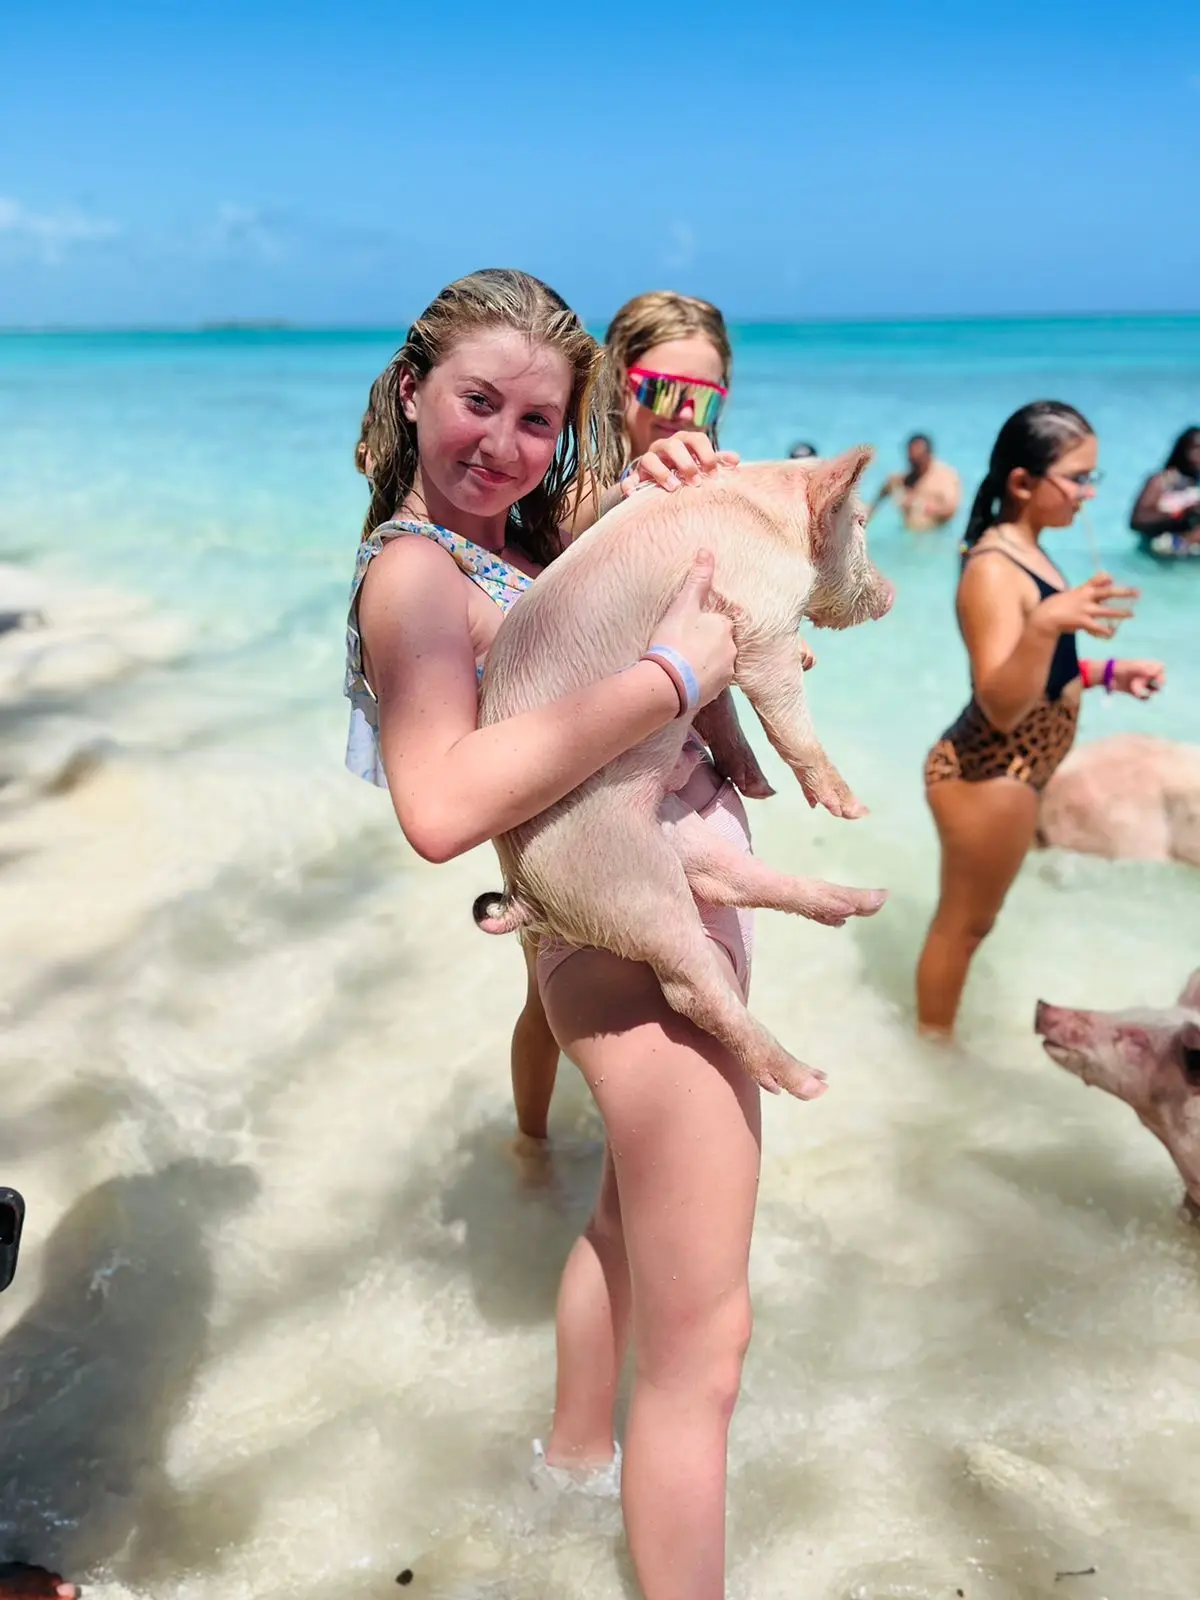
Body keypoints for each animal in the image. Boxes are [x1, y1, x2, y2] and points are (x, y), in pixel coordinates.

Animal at [474, 447, 895, 1102]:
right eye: (863, 522)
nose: (893, 593)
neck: (773, 523)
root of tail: (519, 887)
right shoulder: (758, 622)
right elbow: (784, 716)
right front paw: (850, 809)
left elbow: (724, 711)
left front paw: (758, 786)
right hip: (616, 876)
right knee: (688, 984)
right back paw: (811, 1081)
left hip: (671, 831)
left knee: (732, 882)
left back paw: (868, 900)